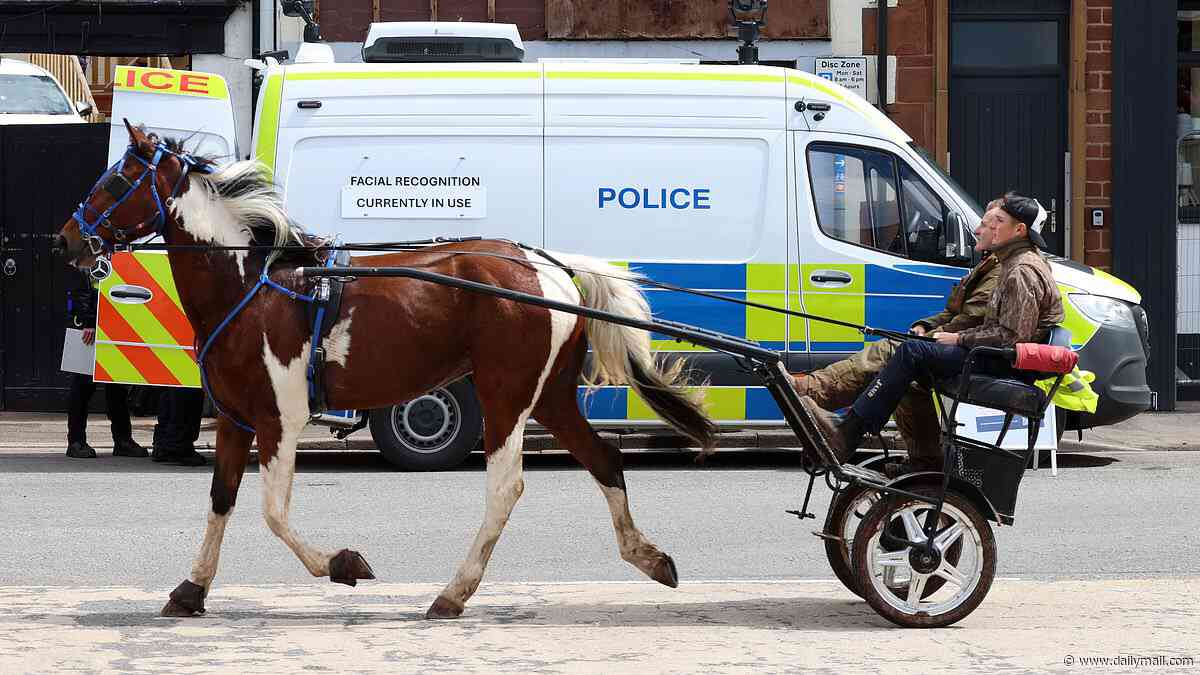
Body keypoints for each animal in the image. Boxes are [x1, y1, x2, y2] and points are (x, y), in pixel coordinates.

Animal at [53, 121, 717, 619]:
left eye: (117, 180)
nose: (66, 240)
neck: (252, 286)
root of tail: (547, 265)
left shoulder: (279, 420)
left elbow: (273, 513)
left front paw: (341, 564)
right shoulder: (239, 421)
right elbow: (222, 501)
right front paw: (191, 589)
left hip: (505, 394)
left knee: (506, 487)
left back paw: (453, 593)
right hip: (549, 395)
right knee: (604, 460)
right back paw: (647, 557)